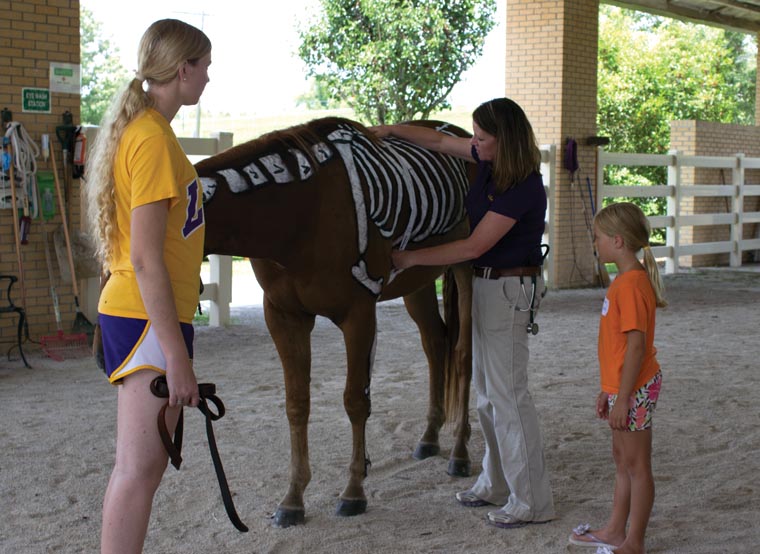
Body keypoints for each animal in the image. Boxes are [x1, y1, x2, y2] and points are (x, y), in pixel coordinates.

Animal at [193, 117, 472, 528]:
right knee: (436, 345)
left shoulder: (358, 313)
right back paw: (429, 437)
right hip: (419, 282)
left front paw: (353, 491)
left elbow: (356, 400)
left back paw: (460, 452)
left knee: (464, 356)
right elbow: (297, 403)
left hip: (469, 268)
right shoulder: (284, 316)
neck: (301, 215)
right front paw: (293, 499)